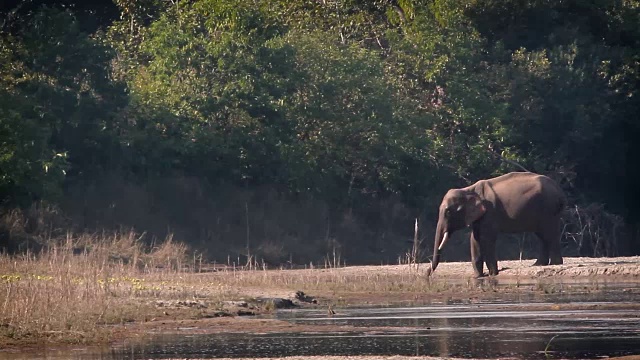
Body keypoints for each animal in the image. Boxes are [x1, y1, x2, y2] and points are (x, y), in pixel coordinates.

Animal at [428, 170, 568, 278]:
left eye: (448, 212)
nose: (428, 272)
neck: (468, 189)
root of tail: (559, 190)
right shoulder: (480, 216)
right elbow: (475, 239)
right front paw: (478, 276)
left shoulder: (490, 213)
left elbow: (486, 239)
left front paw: (492, 274)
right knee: (542, 236)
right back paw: (538, 264)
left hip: (549, 210)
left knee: (549, 234)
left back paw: (555, 264)